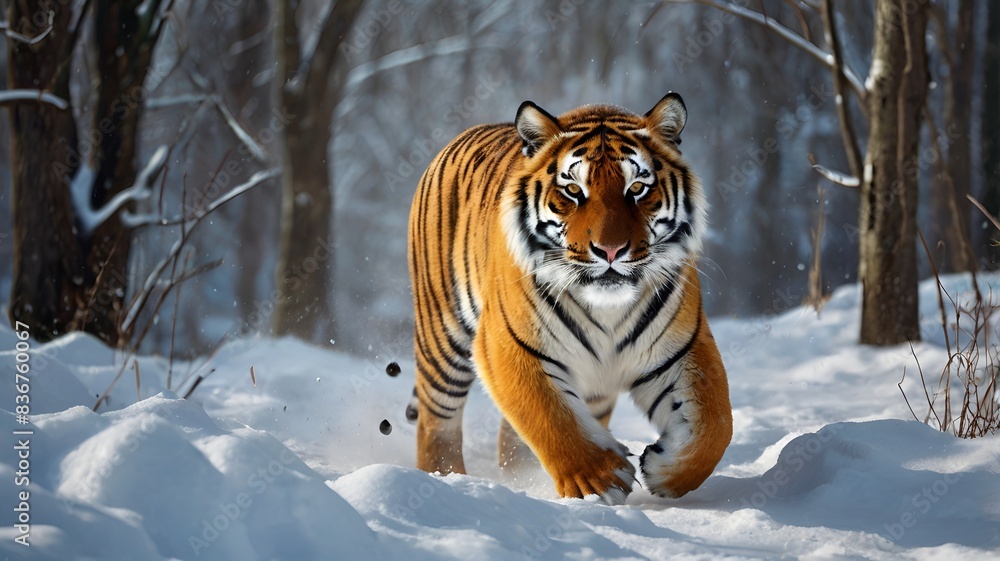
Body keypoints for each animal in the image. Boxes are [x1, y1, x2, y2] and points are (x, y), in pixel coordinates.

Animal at [406, 93, 732, 504]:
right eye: (574, 191)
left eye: (637, 188)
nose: (610, 250)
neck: (607, 308)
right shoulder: (508, 344)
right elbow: (550, 417)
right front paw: (600, 480)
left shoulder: (682, 347)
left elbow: (715, 424)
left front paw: (665, 470)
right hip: (442, 339)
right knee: (437, 423)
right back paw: (445, 481)